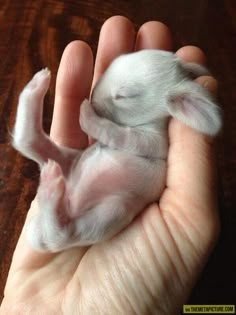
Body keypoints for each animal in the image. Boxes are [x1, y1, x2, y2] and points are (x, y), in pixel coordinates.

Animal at [12, 50, 222, 252]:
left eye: (123, 96)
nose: (92, 98)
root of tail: (70, 197)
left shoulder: (155, 142)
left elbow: (121, 134)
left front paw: (86, 115)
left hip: (112, 212)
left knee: (63, 235)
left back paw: (50, 188)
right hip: (72, 163)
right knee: (29, 141)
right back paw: (35, 86)